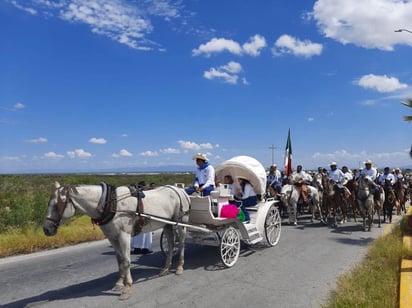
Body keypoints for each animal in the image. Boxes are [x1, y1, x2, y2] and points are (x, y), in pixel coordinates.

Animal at [42, 182, 189, 300]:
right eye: (48, 203)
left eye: (57, 205)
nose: (46, 229)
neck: (110, 203)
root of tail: (180, 189)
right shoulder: (112, 237)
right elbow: (119, 260)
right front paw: (119, 283)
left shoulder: (124, 235)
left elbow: (126, 261)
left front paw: (127, 288)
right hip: (167, 224)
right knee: (171, 244)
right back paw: (165, 268)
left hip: (181, 222)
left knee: (181, 243)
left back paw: (180, 267)